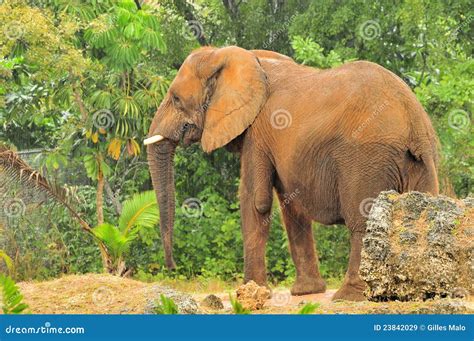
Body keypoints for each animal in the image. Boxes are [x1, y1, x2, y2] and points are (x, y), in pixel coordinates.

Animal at [143, 45, 436, 300]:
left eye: (176, 99)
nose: (171, 267)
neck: (233, 56)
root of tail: (413, 120)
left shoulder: (257, 131)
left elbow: (255, 200)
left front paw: (250, 292)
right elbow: (291, 206)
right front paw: (305, 292)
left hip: (365, 158)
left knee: (361, 221)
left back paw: (350, 296)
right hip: (421, 160)